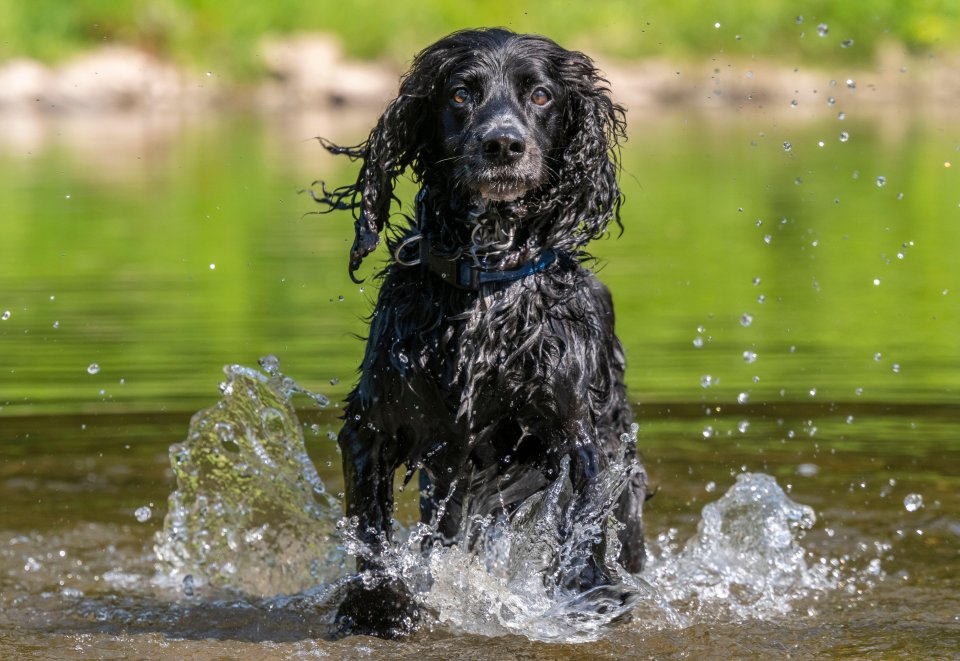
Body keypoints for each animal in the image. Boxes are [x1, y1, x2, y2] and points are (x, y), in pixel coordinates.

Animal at [314, 27, 644, 636]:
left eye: (540, 95)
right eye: (460, 94)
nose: (503, 145)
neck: (487, 276)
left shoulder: (581, 435)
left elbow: (582, 525)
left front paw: (589, 595)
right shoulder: (375, 426)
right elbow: (371, 530)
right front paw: (378, 605)